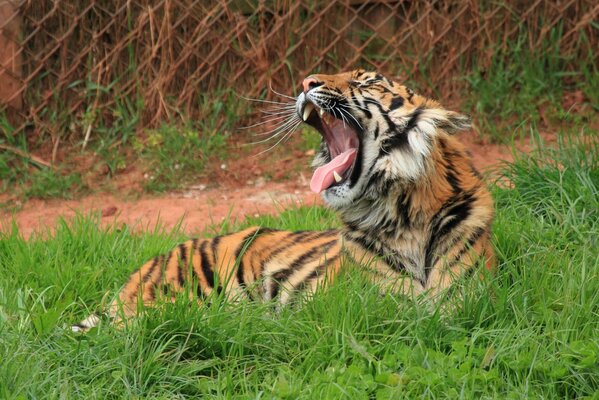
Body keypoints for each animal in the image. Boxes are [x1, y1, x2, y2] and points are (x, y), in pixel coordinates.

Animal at [72, 70, 494, 332]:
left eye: (365, 81)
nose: (307, 81)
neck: (403, 211)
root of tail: (143, 270)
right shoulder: (378, 305)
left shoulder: (464, 299)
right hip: (176, 302)